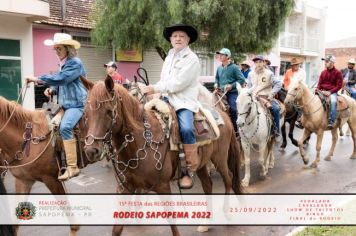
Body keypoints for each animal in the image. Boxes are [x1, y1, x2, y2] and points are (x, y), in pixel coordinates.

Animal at [84, 76, 242, 236]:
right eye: (86, 113)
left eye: (109, 111)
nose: (91, 150)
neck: (140, 142)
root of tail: (222, 114)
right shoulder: (125, 188)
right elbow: (117, 228)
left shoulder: (163, 186)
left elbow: (171, 220)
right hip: (201, 164)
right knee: (207, 185)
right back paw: (206, 223)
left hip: (219, 158)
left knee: (228, 179)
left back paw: (227, 214)